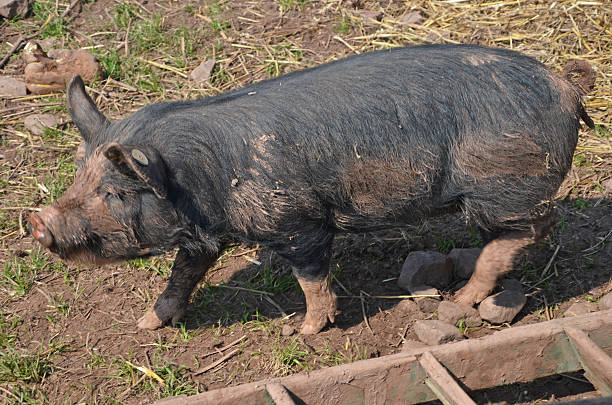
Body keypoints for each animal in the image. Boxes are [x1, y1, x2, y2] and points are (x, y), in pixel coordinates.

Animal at [28, 44, 592, 334]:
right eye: (78, 177)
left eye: (118, 195)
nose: (35, 222)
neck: (198, 179)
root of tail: (567, 88)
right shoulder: (203, 235)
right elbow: (182, 274)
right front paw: (146, 324)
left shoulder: (299, 222)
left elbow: (310, 277)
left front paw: (306, 330)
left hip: (503, 185)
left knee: (536, 225)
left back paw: (461, 304)